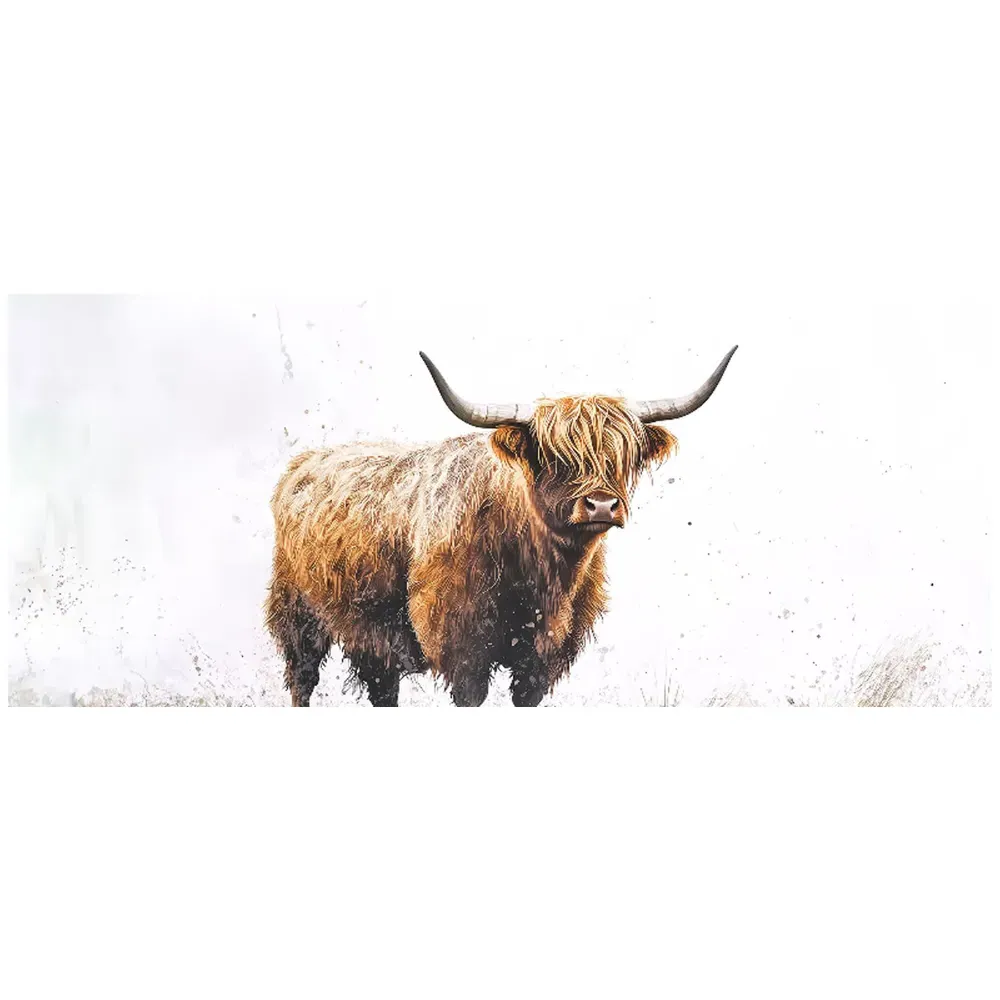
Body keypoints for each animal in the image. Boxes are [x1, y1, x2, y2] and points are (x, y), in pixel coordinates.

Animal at [265, 346, 738, 706]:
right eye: (556, 457)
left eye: (622, 456)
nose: (601, 505)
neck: (543, 577)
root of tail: (302, 464)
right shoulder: (462, 651)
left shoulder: (540, 662)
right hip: (297, 617)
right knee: (302, 681)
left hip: (373, 638)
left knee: (383, 691)